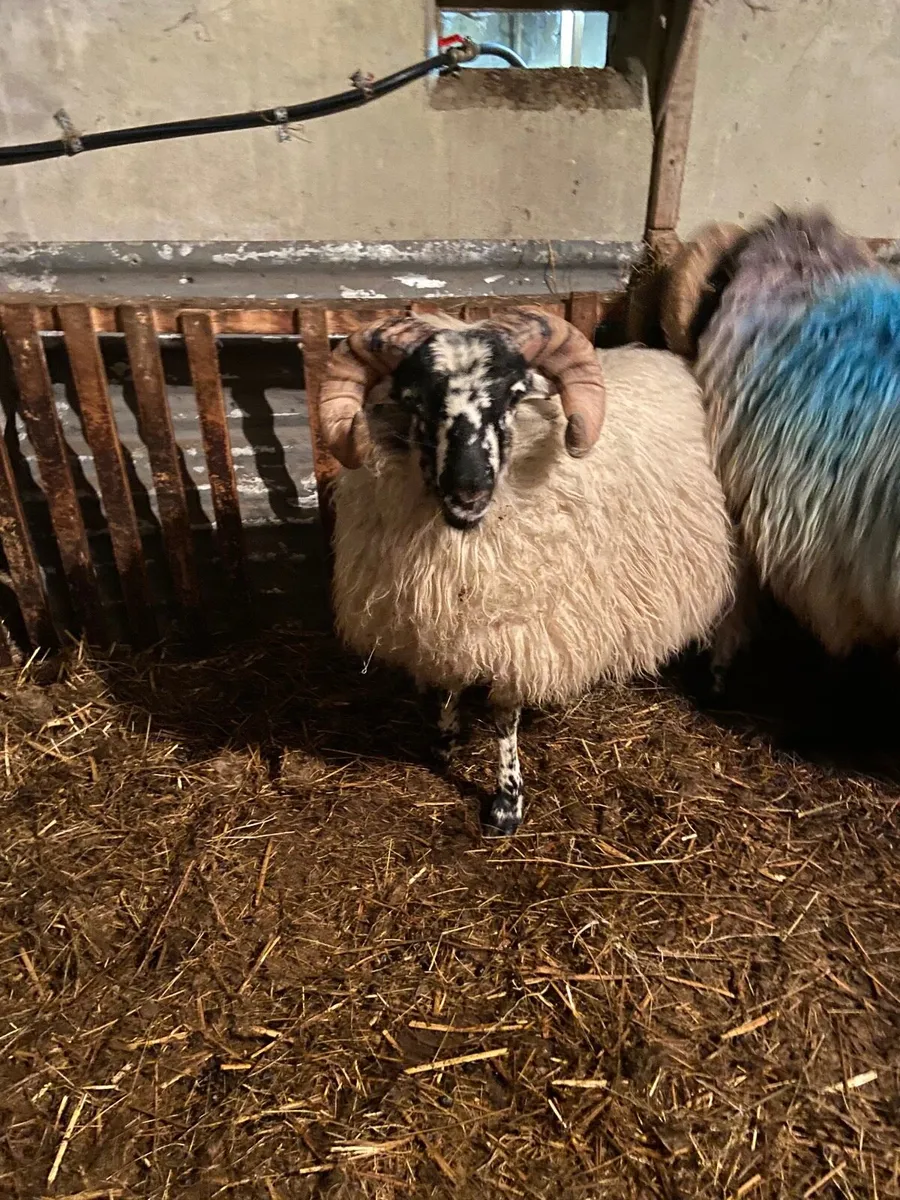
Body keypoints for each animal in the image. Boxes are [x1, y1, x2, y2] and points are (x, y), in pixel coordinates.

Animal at [318, 308, 733, 834]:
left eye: (514, 395)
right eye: (413, 400)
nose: (469, 487)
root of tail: (667, 358)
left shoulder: (521, 633)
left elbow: (503, 716)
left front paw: (506, 803)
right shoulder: (446, 621)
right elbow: (448, 685)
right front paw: (445, 743)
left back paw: (716, 680)